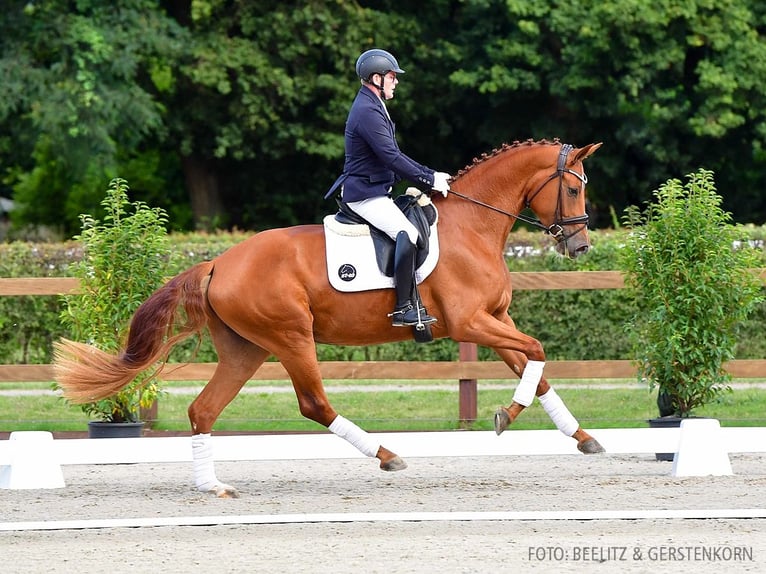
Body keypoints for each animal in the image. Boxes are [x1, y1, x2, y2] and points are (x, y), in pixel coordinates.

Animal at [54, 137, 608, 498]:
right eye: (574, 189)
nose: (579, 246)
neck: (474, 225)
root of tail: (218, 263)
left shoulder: (495, 320)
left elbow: (536, 369)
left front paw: (582, 438)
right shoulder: (470, 322)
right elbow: (537, 350)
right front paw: (504, 417)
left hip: (244, 349)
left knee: (203, 410)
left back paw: (212, 486)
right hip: (291, 337)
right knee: (313, 403)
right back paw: (386, 455)